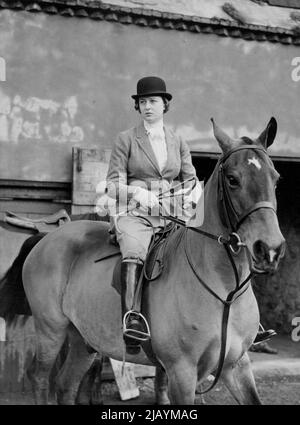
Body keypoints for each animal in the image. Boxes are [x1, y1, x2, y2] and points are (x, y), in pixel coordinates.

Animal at [1, 117, 284, 402]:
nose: (270, 249)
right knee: (39, 376)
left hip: (83, 338)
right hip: (51, 329)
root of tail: (47, 238)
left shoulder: (236, 366)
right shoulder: (181, 372)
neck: (226, 290)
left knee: (65, 384)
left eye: (276, 179)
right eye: (233, 179)